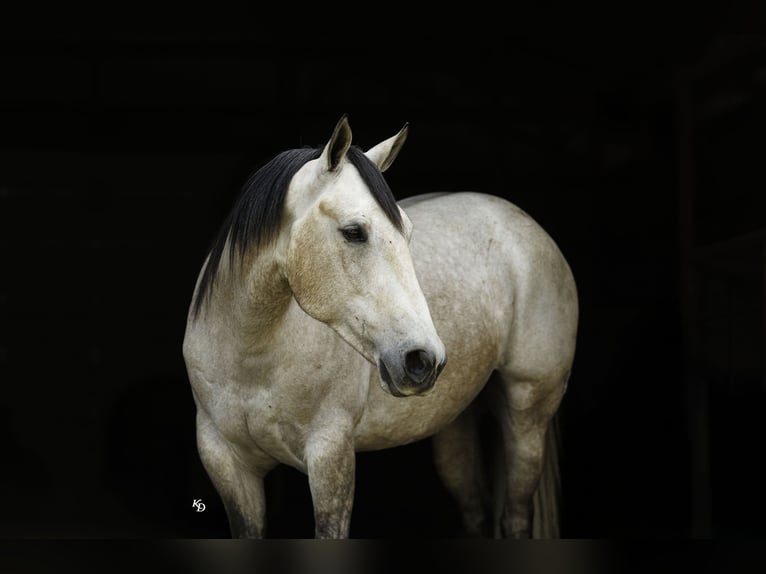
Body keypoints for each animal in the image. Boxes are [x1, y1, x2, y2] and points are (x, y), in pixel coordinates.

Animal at [182, 115, 578, 538]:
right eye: (354, 232)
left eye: (407, 232)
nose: (424, 360)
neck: (251, 360)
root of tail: (525, 224)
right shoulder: (226, 463)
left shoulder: (330, 456)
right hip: (456, 424)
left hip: (528, 417)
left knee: (516, 517)